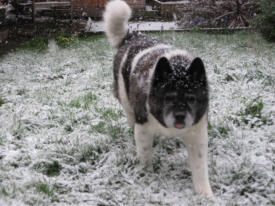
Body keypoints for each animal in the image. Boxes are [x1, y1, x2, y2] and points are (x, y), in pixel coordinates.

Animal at [104, 0, 215, 197]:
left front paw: (205, 195)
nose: (180, 116)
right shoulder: (143, 128)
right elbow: (145, 155)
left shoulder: (197, 132)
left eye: (192, 98)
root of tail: (133, 36)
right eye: (168, 98)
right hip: (126, 101)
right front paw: (146, 176)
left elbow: (200, 167)